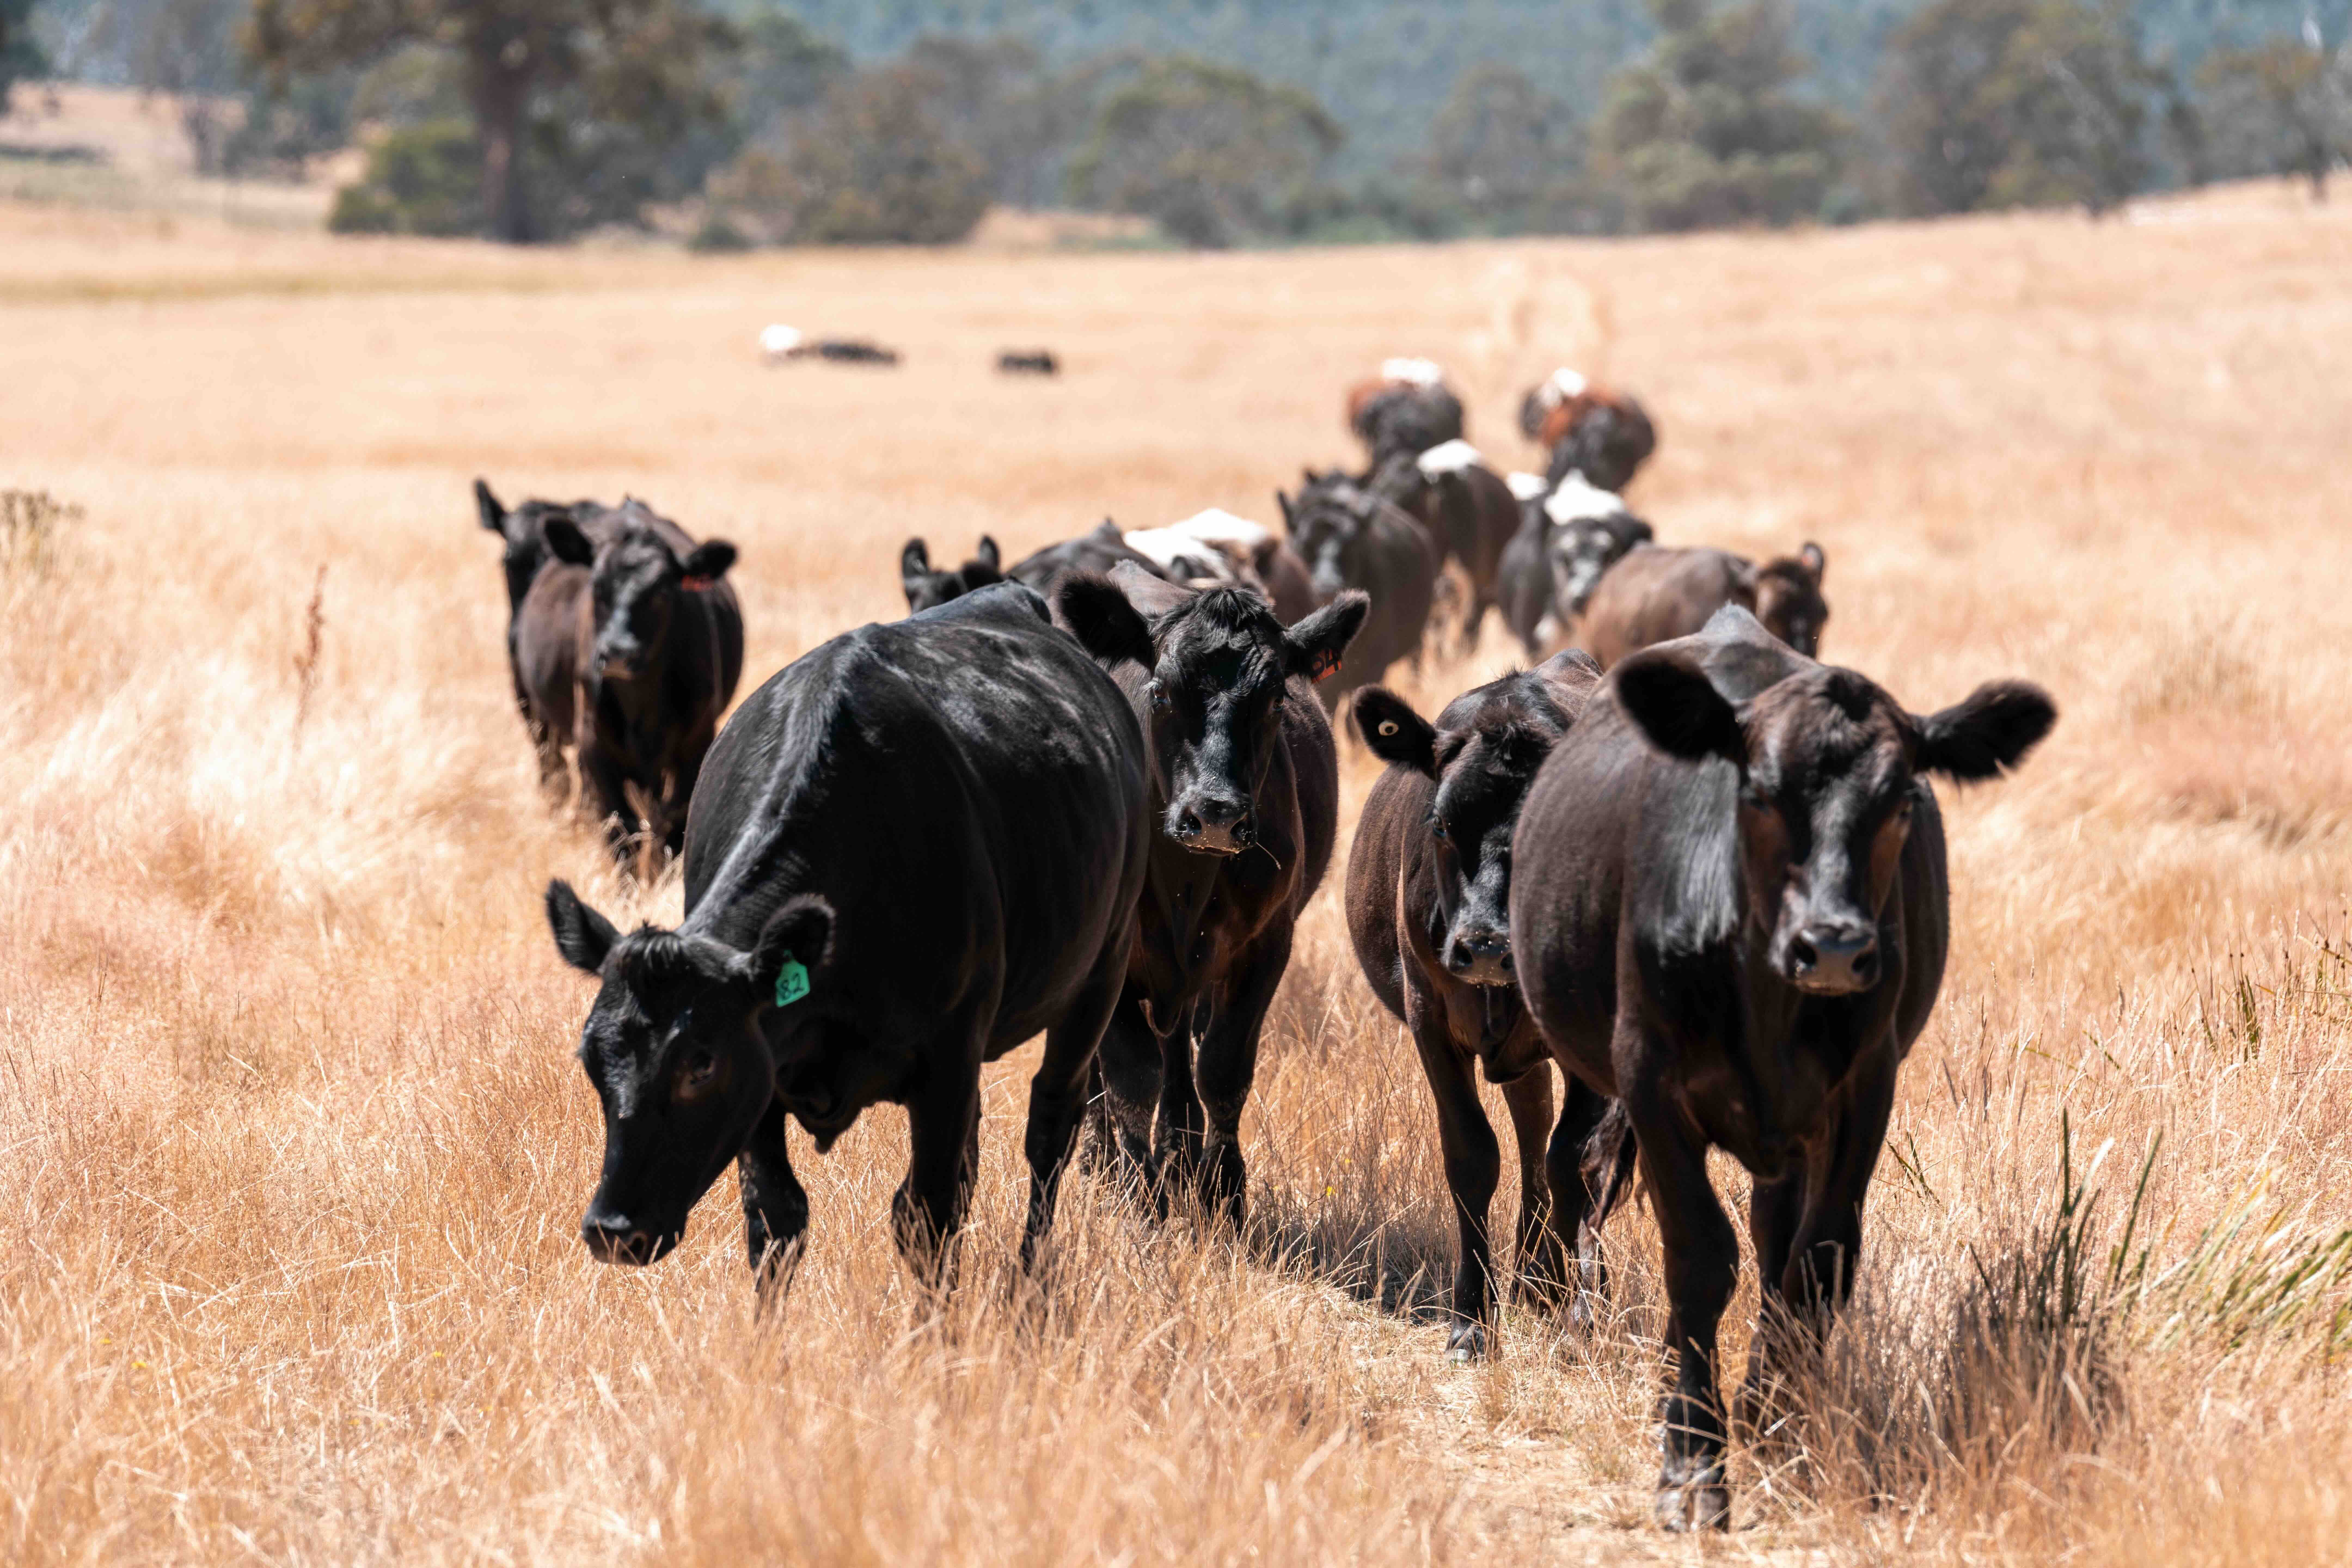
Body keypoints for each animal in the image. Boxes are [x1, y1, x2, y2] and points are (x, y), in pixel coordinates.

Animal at [524, 501, 744, 864]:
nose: (617, 652)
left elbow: (674, 827)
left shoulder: (696, 742)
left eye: (663, 591)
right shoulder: (593, 743)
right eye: (597, 586)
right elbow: (621, 827)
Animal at [543, 582, 1151, 1294]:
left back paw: (1029, 1277)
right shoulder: (765, 1063)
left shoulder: (947, 1060)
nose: (613, 1229)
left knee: (1049, 1128)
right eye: (590, 1059)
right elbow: (776, 1217)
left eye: (700, 1062)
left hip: (1100, 974)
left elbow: (926, 1215)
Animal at [1051, 566, 1366, 1220]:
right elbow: (1130, 1077)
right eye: (1162, 693)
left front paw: (1222, 1190)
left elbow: (1221, 1070)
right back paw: (1103, 1159)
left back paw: (1181, 1154)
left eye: (1275, 698)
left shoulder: (1265, 946)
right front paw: (1137, 1198)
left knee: (1180, 1051)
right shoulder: (1110, 957)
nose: (1216, 814)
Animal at [1345, 653, 1636, 1360]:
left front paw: (1577, 1309)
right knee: (1532, 1127)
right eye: (1442, 823)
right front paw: (1472, 1321)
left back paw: (1559, 1279)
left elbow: (1574, 1158)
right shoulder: (1429, 1016)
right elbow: (1474, 1155)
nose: (1484, 946)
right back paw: (1533, 1276)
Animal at [1509, 605, 2056, 1529]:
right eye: (1759, 794)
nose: (1831, 946)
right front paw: (1694, 1463)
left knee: (1774, 1239)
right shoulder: (1651, 1083)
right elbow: (1699, 1257)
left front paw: (1779, 1423)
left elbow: (1816, 1260)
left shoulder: (1865, 1090)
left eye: (1903, 801)